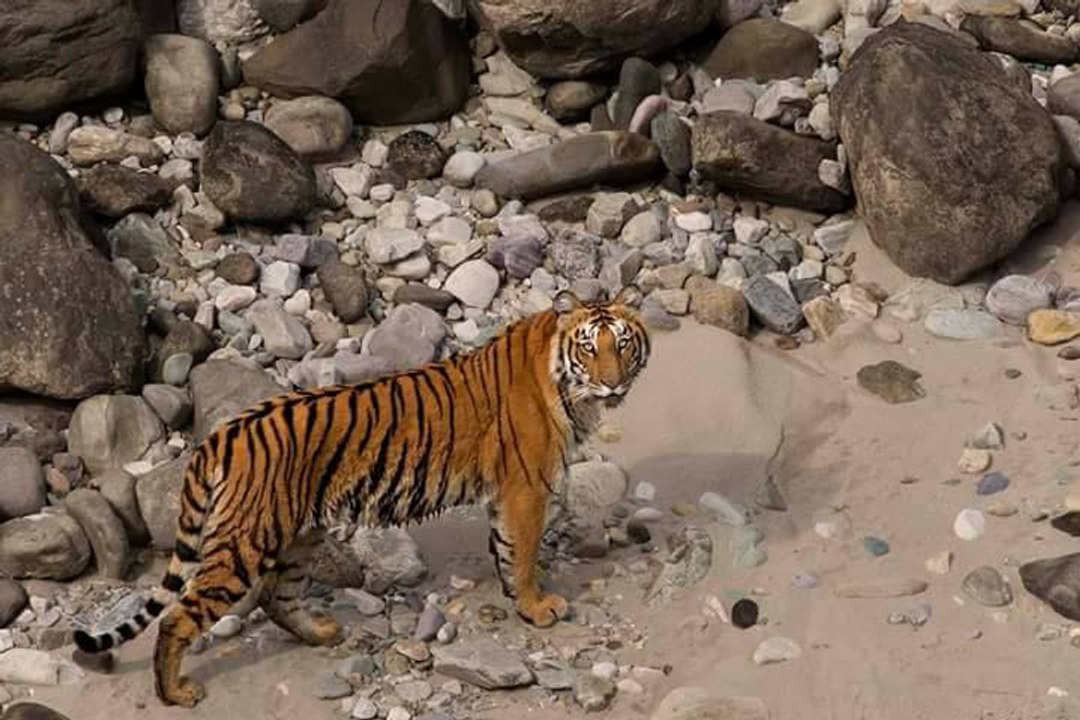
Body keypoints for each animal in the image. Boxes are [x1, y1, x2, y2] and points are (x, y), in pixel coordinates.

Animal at [73, 286, 650, 708]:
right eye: (589, 347)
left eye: (622, 344)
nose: (612, 385)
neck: (562, 376)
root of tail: (220, 434)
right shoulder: (526, 487)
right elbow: (525, 554)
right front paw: (537, 607)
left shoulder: (507, 494)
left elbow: (507, 551)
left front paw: (518, 599)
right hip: (244, 544)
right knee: (178, 616)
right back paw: (175, 693)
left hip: (299, 534)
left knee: (276, 597)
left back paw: (320, 633)